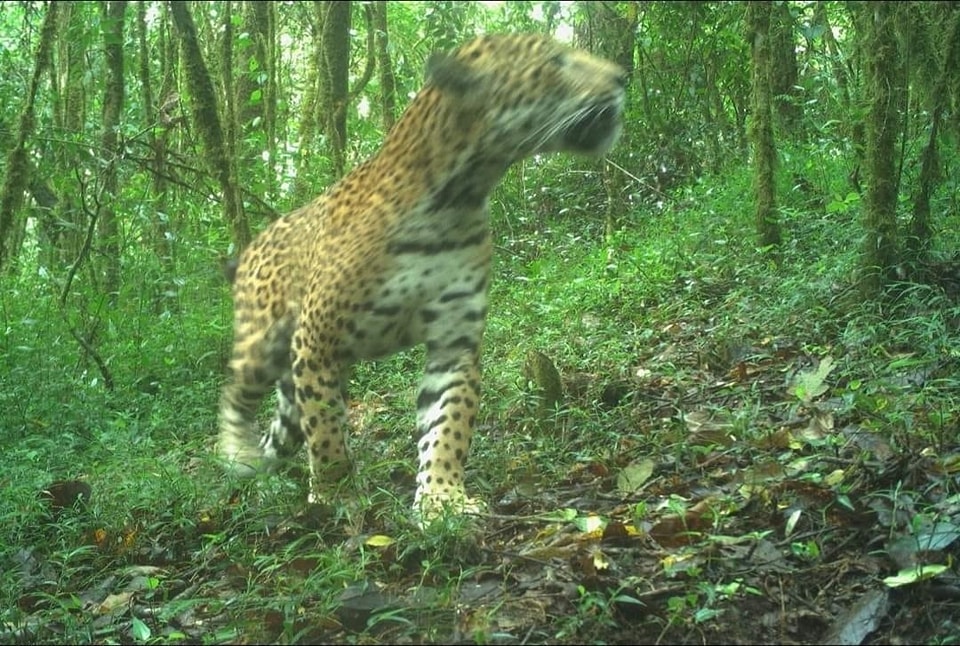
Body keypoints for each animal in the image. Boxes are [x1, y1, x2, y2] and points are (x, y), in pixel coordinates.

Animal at [218, 33, 625, 520]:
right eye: (557, 62)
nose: (624, 77)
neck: (458, 195)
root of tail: (253, 245)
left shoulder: (454, 341)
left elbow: (448, 422)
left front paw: (442, 497)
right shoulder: (317, 339)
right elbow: (327, 427)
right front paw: (336, 494)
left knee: (283, 427)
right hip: (265, 344)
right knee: (235, 392)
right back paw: (237, 455)